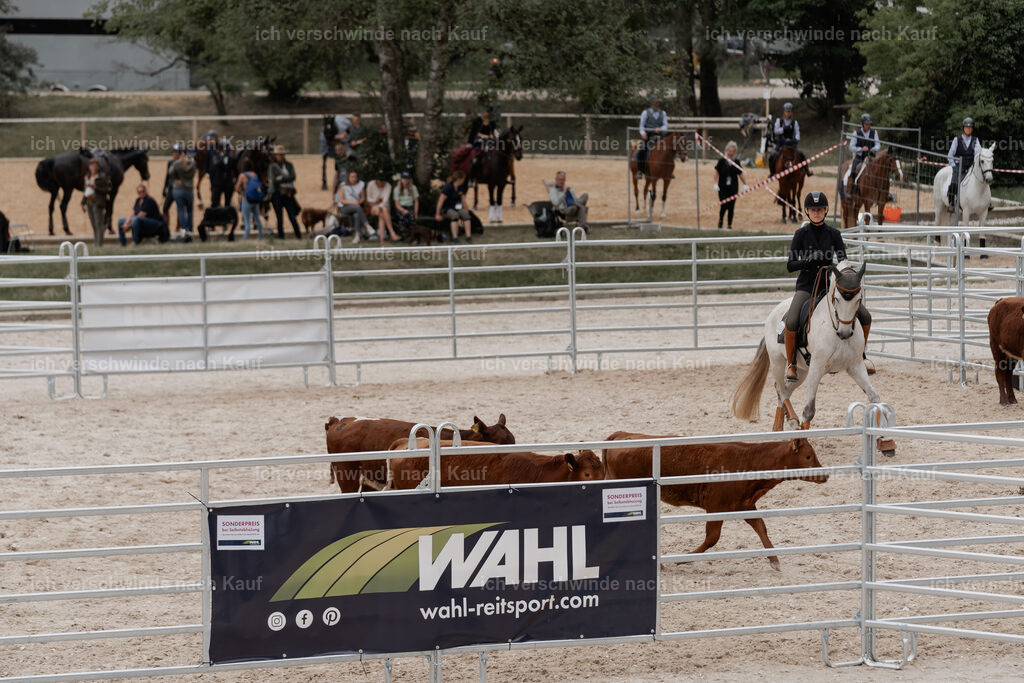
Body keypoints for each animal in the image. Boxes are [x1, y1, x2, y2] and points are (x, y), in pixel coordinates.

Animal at [730, 261, 895, 455]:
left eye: (859, 299)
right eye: (836, 299)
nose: (845, 333)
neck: (834, 327)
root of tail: (774, 312)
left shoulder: (855, 366)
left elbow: (875, 398)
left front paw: (886, 441)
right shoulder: (817, 368)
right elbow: (809, 410)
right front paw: (800, 443)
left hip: (801, 372)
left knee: (783, 390)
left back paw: (780, 427)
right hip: (778, 362)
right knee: (781, 389)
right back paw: (792, 421)